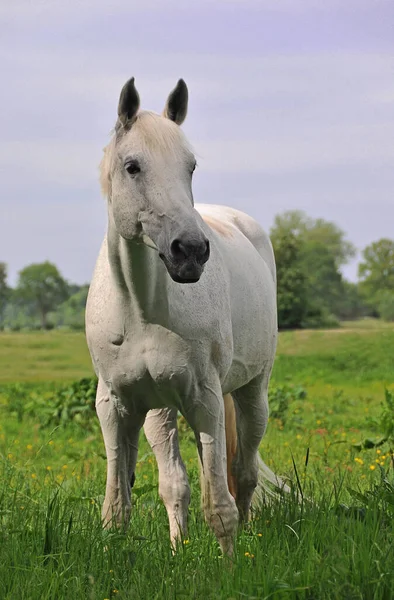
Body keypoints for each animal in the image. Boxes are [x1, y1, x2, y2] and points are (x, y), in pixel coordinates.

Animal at [85, 77, 286, 556]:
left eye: (190, 166)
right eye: (132, 166)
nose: (191, 251)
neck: (140, 310)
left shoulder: (206, 399)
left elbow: (221, 506)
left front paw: (233, 566)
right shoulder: (115, 407)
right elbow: (118, 506)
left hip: (252, 392)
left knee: (243, 473)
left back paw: (249, 538)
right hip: (161, 410)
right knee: (177, 481)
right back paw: (180, 545)